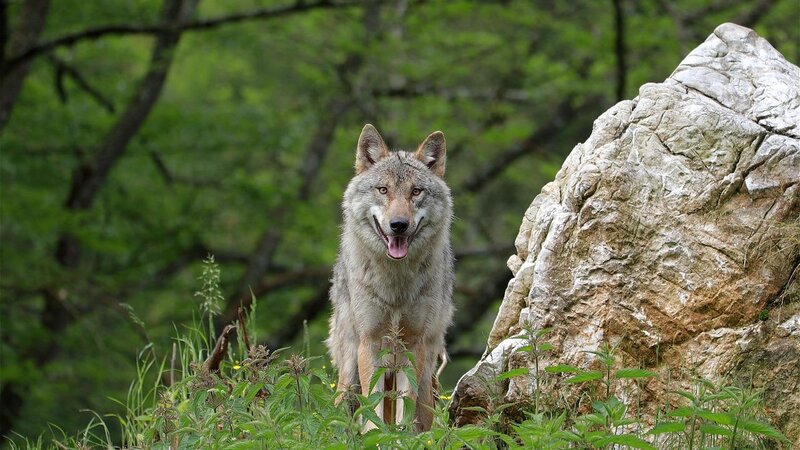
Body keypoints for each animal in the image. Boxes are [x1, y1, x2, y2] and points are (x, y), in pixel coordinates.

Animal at [326, 124, 455, 432]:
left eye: (416, 191)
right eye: (383, 190)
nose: (398, 225)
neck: (396, 286)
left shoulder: (413, 345)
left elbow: (404, 409)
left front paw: (399, 437)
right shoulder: (370, 343)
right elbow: (372, 409)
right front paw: (376, 437)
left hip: (426, 373)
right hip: (349, 371)